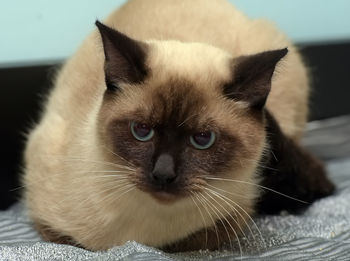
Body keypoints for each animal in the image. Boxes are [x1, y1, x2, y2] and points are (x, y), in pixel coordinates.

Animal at [23, 0, 334, 252]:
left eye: (203, 139)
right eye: (141, 131)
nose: (163, 174)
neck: (146, 232)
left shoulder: (236, 210)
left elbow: (194, 240)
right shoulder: (48, 223)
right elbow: (69, 241)